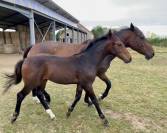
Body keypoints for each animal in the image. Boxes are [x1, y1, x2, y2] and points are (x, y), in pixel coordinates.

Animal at [4, 30, 132, 126]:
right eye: (119, 44)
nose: (129, 59)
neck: (87, 60)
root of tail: (25, 60)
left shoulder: (81, 83)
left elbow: (78, 96)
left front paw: (69, 112)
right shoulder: (87, 84)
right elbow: (95, 100)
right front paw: (104, 120)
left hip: (42, 81)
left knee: (40, 93)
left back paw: (51, 115)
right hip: (31, 83)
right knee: (21, 95)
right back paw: (14, 117)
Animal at [23, 23, 154, 105]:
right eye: (141, 37)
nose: (152, 53)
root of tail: (33, 46)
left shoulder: (97, 74)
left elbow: (108, 84)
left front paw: (91, 100)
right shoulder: (98, 74)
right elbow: (106, 85)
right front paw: (96, 98)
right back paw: (41, 99)